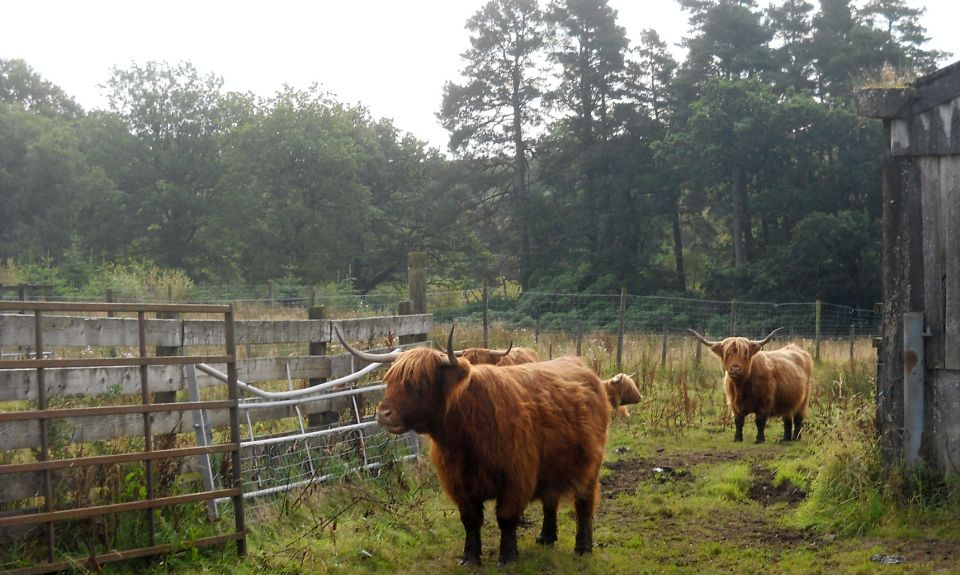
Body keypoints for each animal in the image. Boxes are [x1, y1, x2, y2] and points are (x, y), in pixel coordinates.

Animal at [338, 328, 608, 568]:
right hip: (551, 467)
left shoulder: (515, 478)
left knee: (585, 503)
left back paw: (583, 547)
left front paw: (507, 557)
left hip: (590, 466)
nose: (383, 414)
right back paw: (546, 537)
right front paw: (470, 557)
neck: (465, 435)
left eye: (421, 383)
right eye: (389, 380)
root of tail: (582, 367)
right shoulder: (458, 483)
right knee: (550, 499)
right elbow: (470, 520)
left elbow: (506, 518)